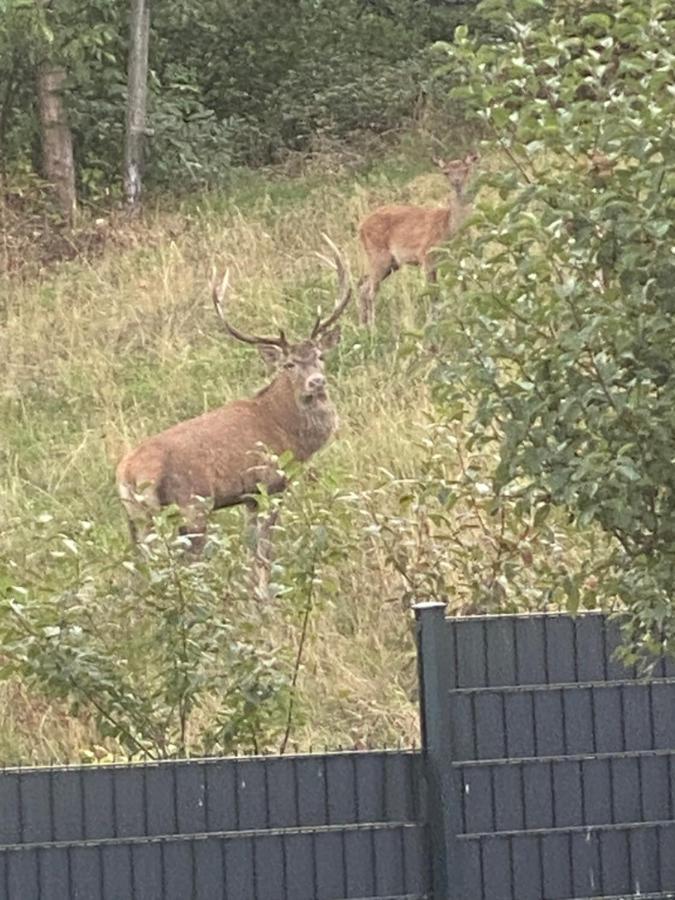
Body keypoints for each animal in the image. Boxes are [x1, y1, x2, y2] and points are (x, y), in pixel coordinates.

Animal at [116, 236, 352, 580]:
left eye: (320, 355)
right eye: (289, 364)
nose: (317, 382)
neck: (286, 431)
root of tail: (128, 473)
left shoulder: (249, 496)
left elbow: (252, 549)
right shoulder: (269, 483)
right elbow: (264, 552)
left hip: (136, 518)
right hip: (192, 505)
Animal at [360, 152, 480, 326]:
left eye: (466, 170)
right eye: (446, 172)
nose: (456, 183)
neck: (449, 230)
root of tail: (361, 226)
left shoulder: (459, 258)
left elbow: (464, 288)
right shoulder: (427, 256)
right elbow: (433, 294)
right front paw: (432, 322)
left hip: (392, 263)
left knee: (363, 286)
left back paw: (362, 325)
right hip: (378, 255)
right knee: (370, 291)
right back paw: (372, 327)